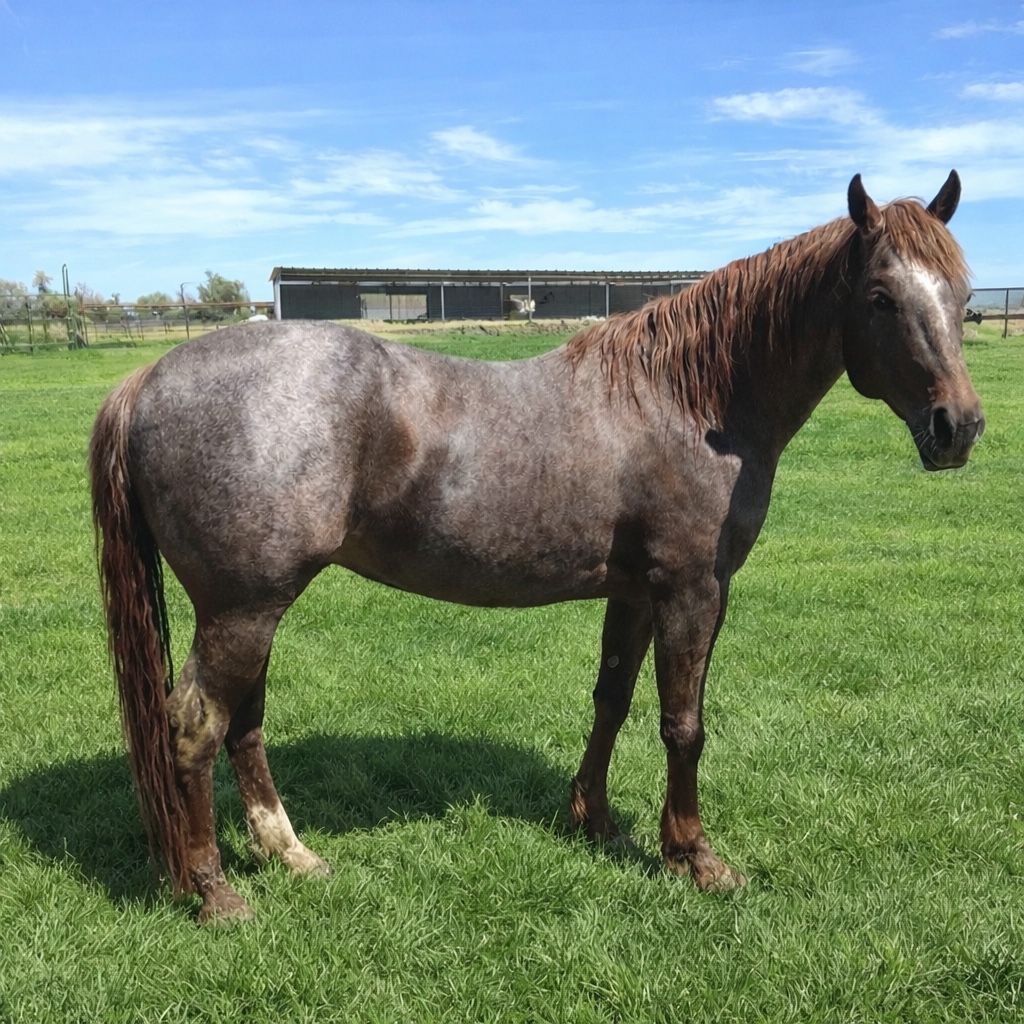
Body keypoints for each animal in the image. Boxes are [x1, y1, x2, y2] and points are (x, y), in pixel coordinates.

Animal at [90, 172, 983, 922]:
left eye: (964, 295)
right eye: (880, 297)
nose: (958, 428)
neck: (691, 399)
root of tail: (149, 380)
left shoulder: (634, 592)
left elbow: (612, 700)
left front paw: (596, 822)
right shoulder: (693, 590)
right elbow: (683, 723)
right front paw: (695, 858)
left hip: (252, 609)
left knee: (242, 724)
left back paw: (291, 856)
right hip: (242, 609)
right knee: (196, 726)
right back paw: (213, 893)